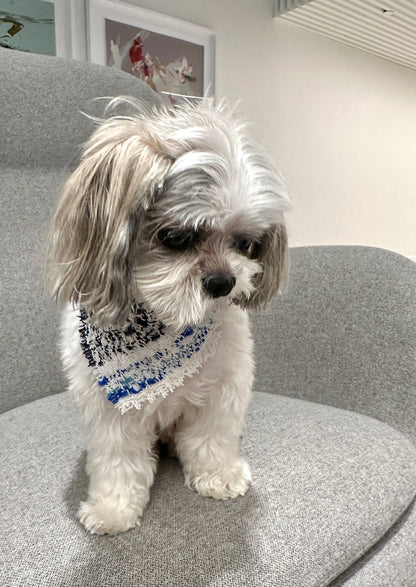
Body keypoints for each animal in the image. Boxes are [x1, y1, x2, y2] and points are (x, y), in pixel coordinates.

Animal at [44, 99, 290, 536]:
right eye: (177, 238)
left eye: (246, 243)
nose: (224, 281)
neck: (166, 319)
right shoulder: (110, 416)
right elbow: (118, 463)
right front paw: (113, 509)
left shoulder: (223, 389)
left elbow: (212, 439)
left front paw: (218, 475)